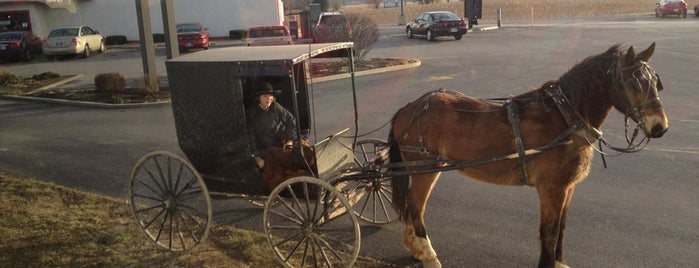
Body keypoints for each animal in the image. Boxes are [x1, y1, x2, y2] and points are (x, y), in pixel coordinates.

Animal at [388, 43, 668, 266]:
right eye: (634, 83)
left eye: (656, 83)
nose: (660, 127)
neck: (564, 117)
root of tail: (409, 107)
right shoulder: (551, 188)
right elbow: (549, 233)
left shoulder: (567, 187)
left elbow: (562, 227)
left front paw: (559, 262)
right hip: (425, 169)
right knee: (416, 207)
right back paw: (428, 254)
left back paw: (415, 247)